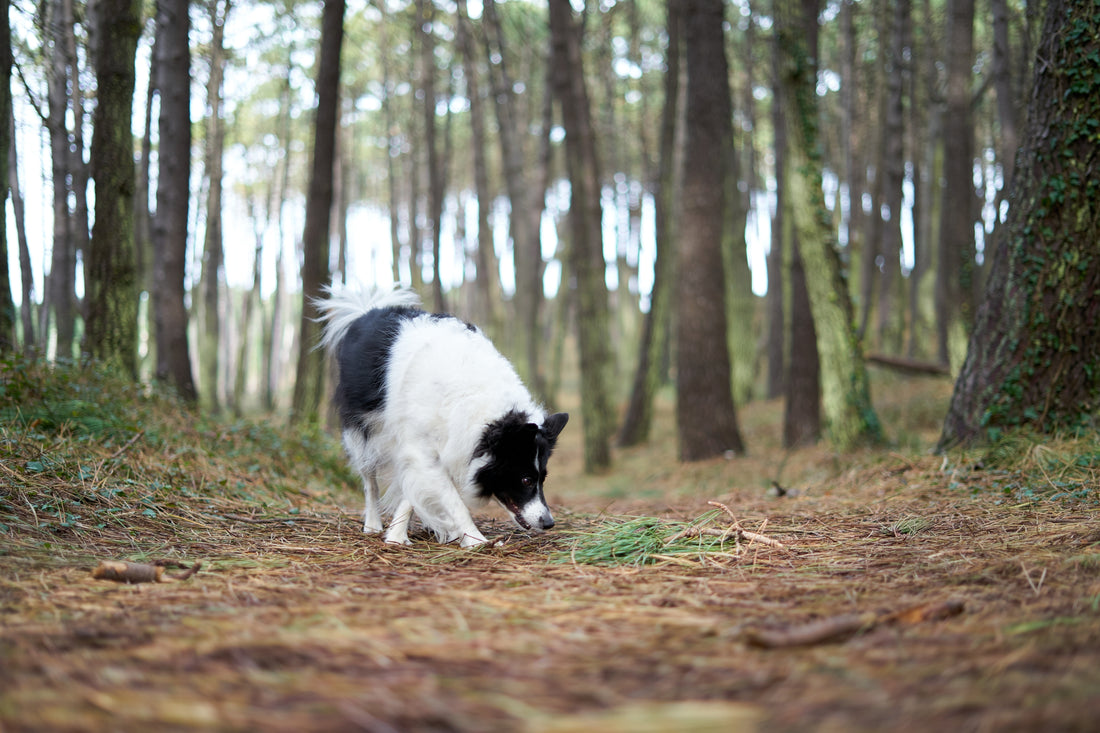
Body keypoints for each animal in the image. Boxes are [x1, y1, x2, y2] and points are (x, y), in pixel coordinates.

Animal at [312, 281, 563, 545]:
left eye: (543, 479)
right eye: (526, 479)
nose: (548, 523)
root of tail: (367, 311)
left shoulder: (437, 447)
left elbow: (414, 491)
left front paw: (398, 534)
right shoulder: (421, 447)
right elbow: (452, 500)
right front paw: (475, 540)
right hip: (362, 432)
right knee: (369, 480)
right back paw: (372, 523)